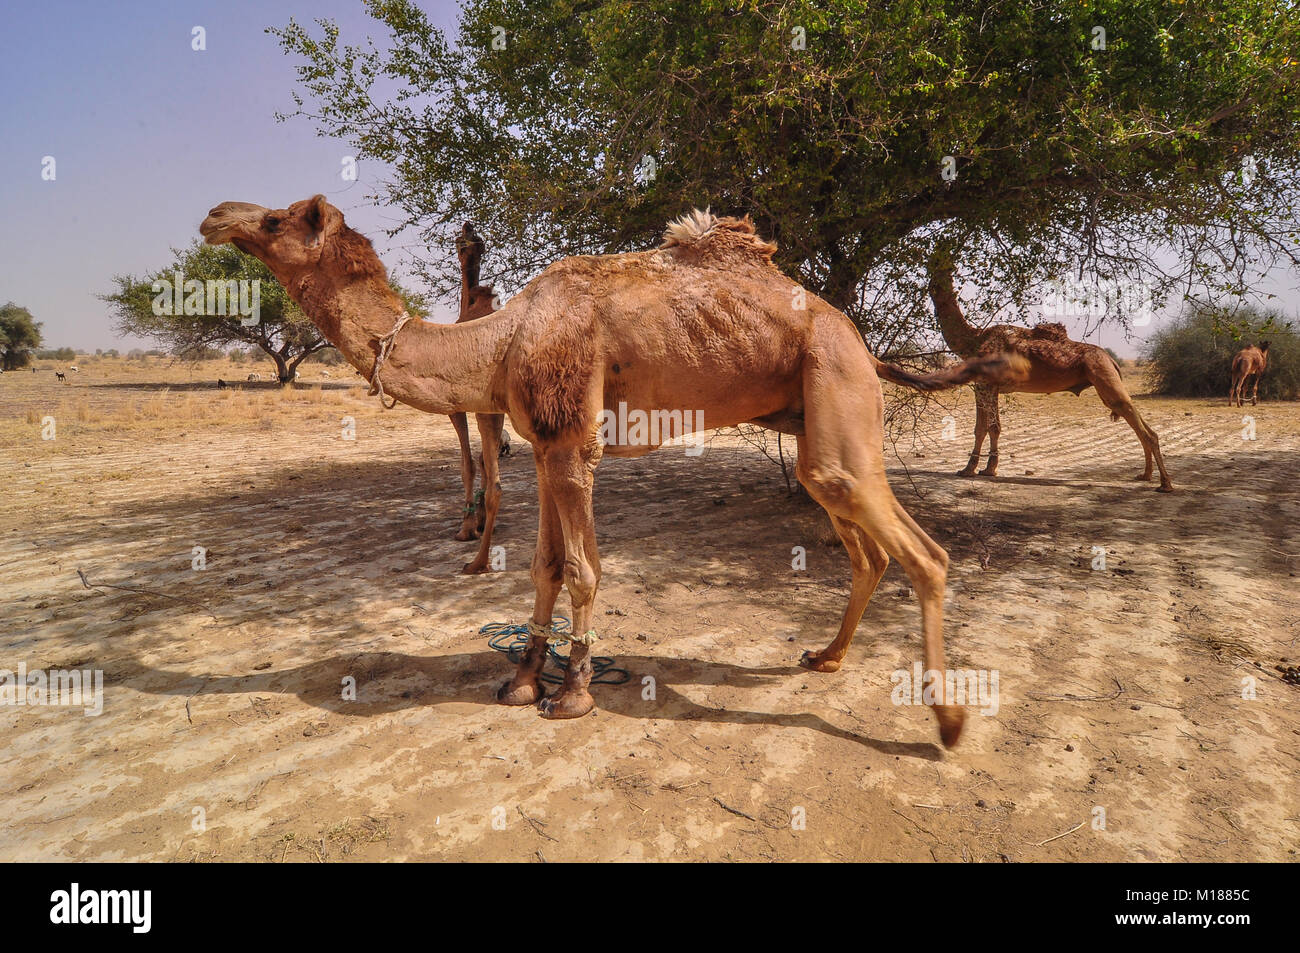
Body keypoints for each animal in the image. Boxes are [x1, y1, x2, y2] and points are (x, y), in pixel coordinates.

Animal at [200, 196, 1026, 747]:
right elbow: (542, 565)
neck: (499, 339)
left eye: (276, 221)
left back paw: (949, 721)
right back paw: (825, 656)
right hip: (810, 417)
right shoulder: (541, 444)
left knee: (920, 550)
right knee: (866, 540)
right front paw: (520, 678)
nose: (214, 216)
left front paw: (572, 693)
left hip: (835, 382)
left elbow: (584, 568)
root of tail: (856, 335)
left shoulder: (574, 446)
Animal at [927, 254, 1173, 491]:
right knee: (1142, 426)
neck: (973, 339)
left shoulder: (984, 385)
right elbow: (990, 428)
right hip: (1105, 381)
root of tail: (1111, 359)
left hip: (1103, 375)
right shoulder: (989, 387)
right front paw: (988, 469)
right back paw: (1145, 475)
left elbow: (984, 428)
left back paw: (1165, 484)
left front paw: (970, 469)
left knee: (1142, 427)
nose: (933, 272)